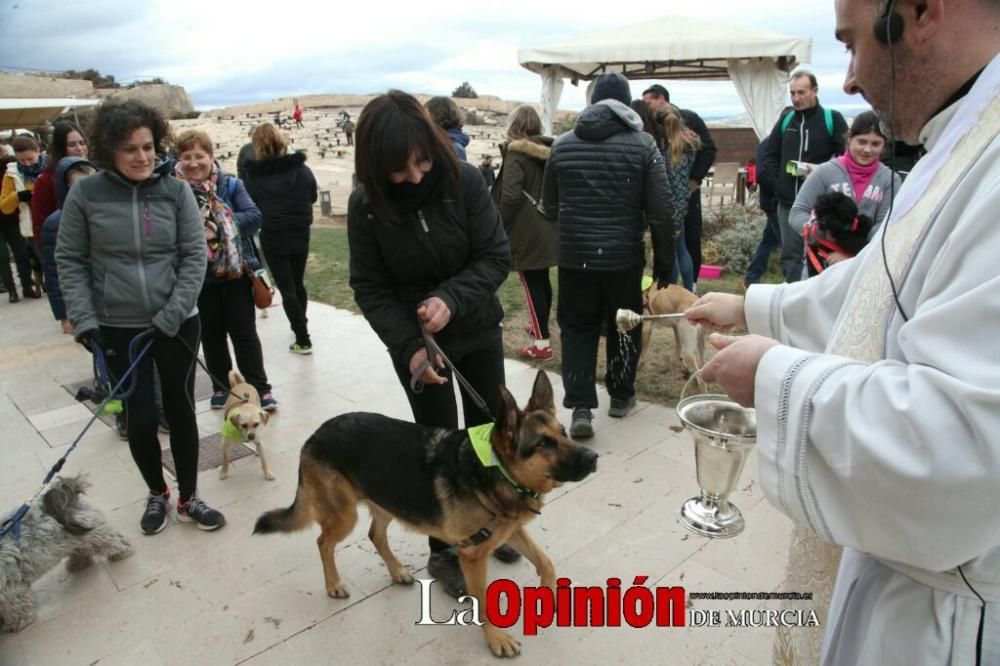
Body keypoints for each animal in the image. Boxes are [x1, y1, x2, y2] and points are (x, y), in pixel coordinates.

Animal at [0, 474, 134, 632]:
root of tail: (66, 496)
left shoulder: (11, 591)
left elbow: (17, 608)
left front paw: (18, 623)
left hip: (92, 534)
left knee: (112, 539)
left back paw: (121, 551)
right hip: (74, 540)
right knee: (81, 551)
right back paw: (78, 563)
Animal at [258, 370, 596, 656]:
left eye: (563, 433)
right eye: (544, 443)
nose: (594, 457)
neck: (494, 468)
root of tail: (315, 435)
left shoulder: (510, 530)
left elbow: (546, 562)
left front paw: (551, 596)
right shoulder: (472, 556)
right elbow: (484, 602)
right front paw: (496, 639)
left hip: (387, 500)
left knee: (375, 535)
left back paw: (397, 571)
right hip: (345, 516)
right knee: (323, 542)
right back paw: (334, 585)